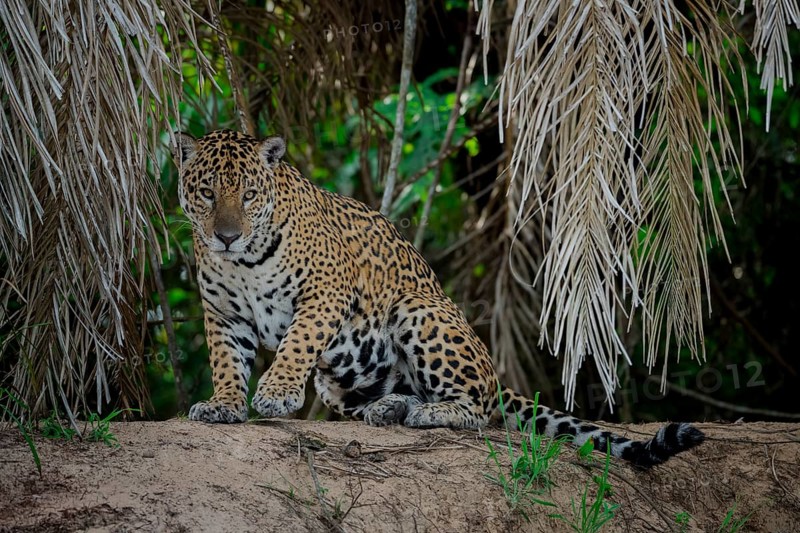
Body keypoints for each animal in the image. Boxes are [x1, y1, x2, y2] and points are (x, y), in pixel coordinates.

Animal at [175, 129, 704, 468]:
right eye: (206, 193)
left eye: (248, 195)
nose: (226, 236)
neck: (242, 263)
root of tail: (496, 375)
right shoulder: (222, 316)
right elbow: (225, 362)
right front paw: (223, 405)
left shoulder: (325, 293)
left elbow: (297, 342)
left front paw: (276, 393)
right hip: (337, 382)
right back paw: (389, 408)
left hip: (415, 311)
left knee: (478, 411)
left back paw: (428, 412)